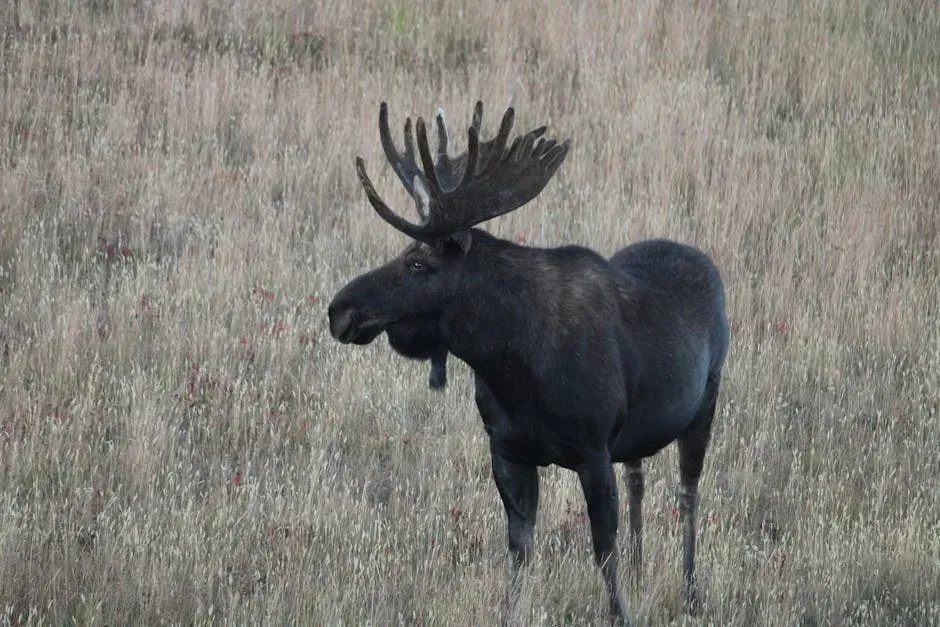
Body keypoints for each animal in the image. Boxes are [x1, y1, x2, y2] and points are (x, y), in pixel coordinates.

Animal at [328, 101, 730, 626]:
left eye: (418, 264)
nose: (339, 310)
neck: (512, 365)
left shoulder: (592, 449)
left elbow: (604, 551)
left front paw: (620, 614)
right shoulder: (508, 450)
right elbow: (519, 549)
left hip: (704, 404)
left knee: (688, 494)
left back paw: (691, 592)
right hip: (639, 434)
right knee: (639, 479)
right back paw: (645, 574)